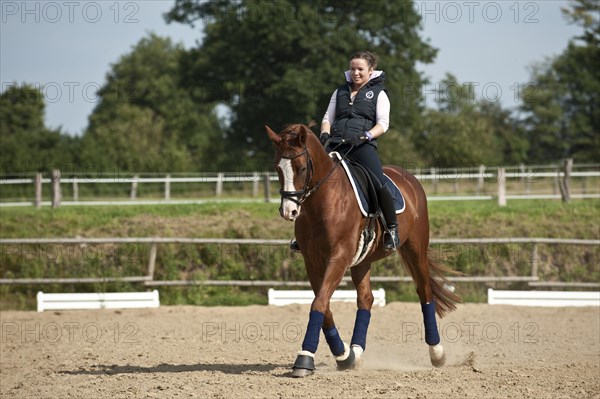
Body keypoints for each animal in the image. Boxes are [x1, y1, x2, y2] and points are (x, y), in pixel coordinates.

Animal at [268, 123, 460, 376]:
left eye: (301, 168)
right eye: (277, 168)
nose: (288, 211)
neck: (323, 201)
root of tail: (410, 178)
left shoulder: (339, 257)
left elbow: (319, 302)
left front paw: (304, 358)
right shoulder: (313, 261)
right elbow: (324, 305)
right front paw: (343, 356)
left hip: (415, 248)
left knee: (424, 292)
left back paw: (437, 353)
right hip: (362, 260)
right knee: (366, 299)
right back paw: (356, 352)